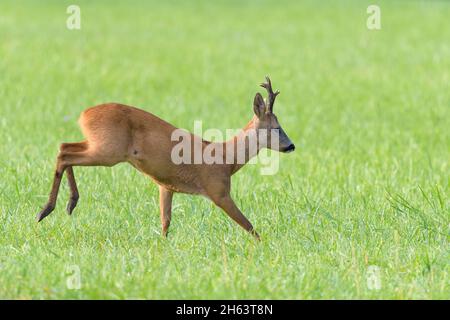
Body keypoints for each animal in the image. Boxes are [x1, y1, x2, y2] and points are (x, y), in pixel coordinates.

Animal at [36, 76, 296, 239]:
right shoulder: (219, 191)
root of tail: (83, 115)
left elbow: (165, 222)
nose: (291, 146)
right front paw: (266, 247)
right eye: (276, 128)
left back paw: (66, 205)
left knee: (64, 146)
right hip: (108, 150)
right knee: (65, 154)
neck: (226, 159)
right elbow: (250, 226)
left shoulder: (166, 186)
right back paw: (48, 209)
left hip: (98, 145)